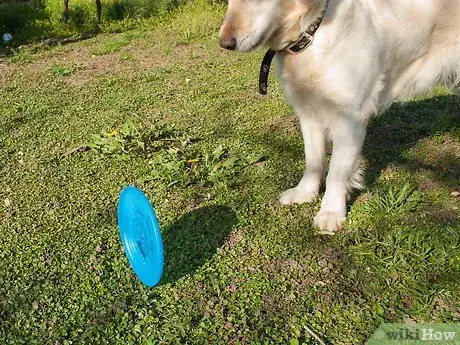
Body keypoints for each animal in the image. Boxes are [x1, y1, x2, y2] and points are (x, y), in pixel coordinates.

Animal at [218, 0, 460, 232]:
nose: (224, 43)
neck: (311, 35)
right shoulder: (309, 115)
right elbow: (313, 160)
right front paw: (305, 192)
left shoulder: (349, 121)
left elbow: (335, 171)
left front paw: (331, 211)